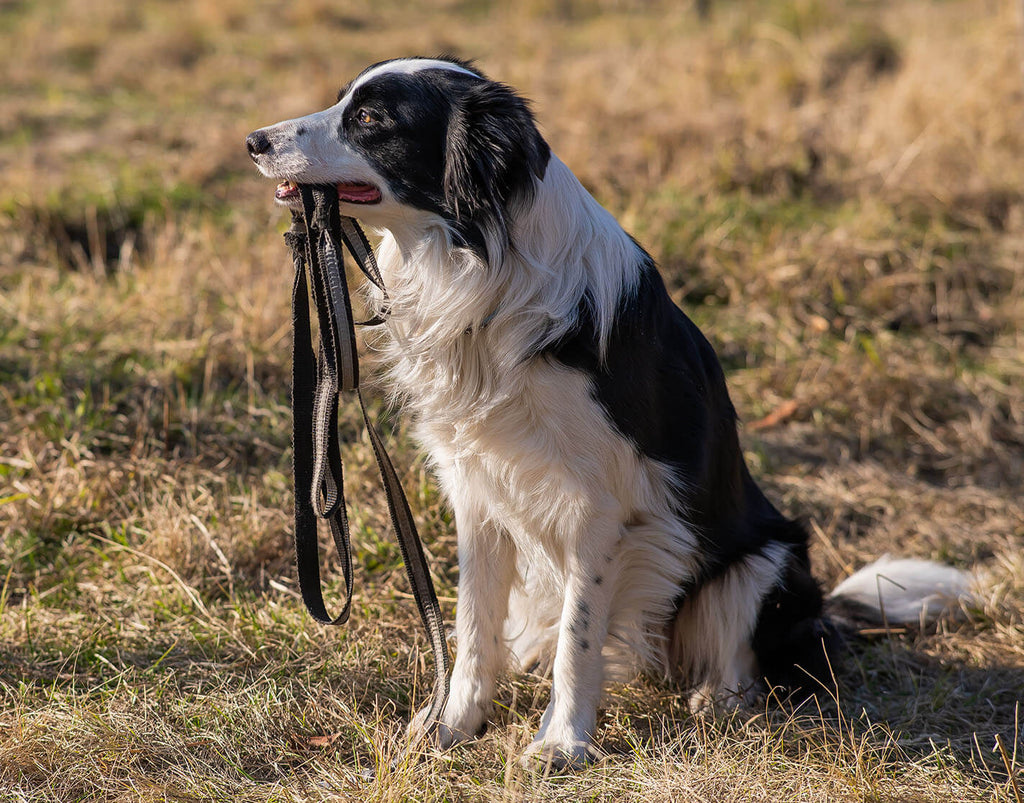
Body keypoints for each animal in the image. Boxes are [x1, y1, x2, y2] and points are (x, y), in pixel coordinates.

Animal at [245, 56, 966, 766]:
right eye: (344, 99)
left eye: (371, 118)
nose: (253, 141)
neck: (483, 268)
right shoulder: (477, 488)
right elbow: (473, 625)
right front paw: (453, 725)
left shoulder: (598, 507)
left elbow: (579, 634)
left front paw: (563, 742)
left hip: (767, 559)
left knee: (744, 652)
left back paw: (719, 701)